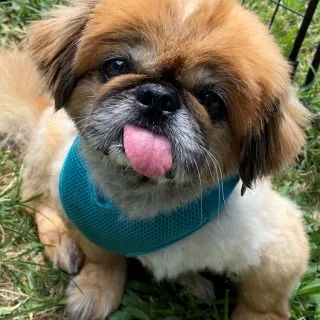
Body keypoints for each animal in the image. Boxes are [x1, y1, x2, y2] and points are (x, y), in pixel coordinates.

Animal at [0, 0, 310, 320]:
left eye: (211, 100)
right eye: (116, 66)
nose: (159, 97)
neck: (146, 194)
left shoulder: (277, 244)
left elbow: (264, 299)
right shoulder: (76, 204)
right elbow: (102, 257)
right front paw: (98, 287)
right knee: (36, 201)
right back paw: (62, 243)